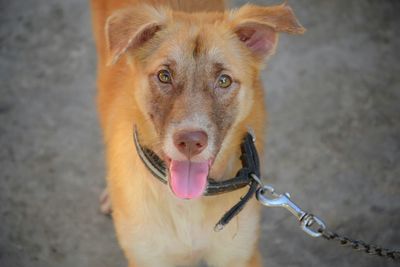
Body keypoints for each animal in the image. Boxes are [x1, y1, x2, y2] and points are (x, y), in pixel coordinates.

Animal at [90, 1, 304, 266]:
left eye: (224, 81)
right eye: (164, 76)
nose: (190, 142)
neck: (187, 205)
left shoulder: (239, 255)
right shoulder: (149, 257)